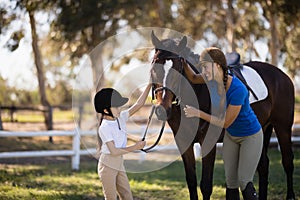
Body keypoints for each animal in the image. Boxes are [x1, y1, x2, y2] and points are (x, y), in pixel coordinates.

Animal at [150, 31, 296, 200]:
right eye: (154, 67)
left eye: (178, 70)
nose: (162, 110)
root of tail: (282, 75)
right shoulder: (183, 142)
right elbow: (191, 181)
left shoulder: (208, 142)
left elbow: (206, 185)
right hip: (264, 129)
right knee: (263, 166)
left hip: (283, 127)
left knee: (287, 162)